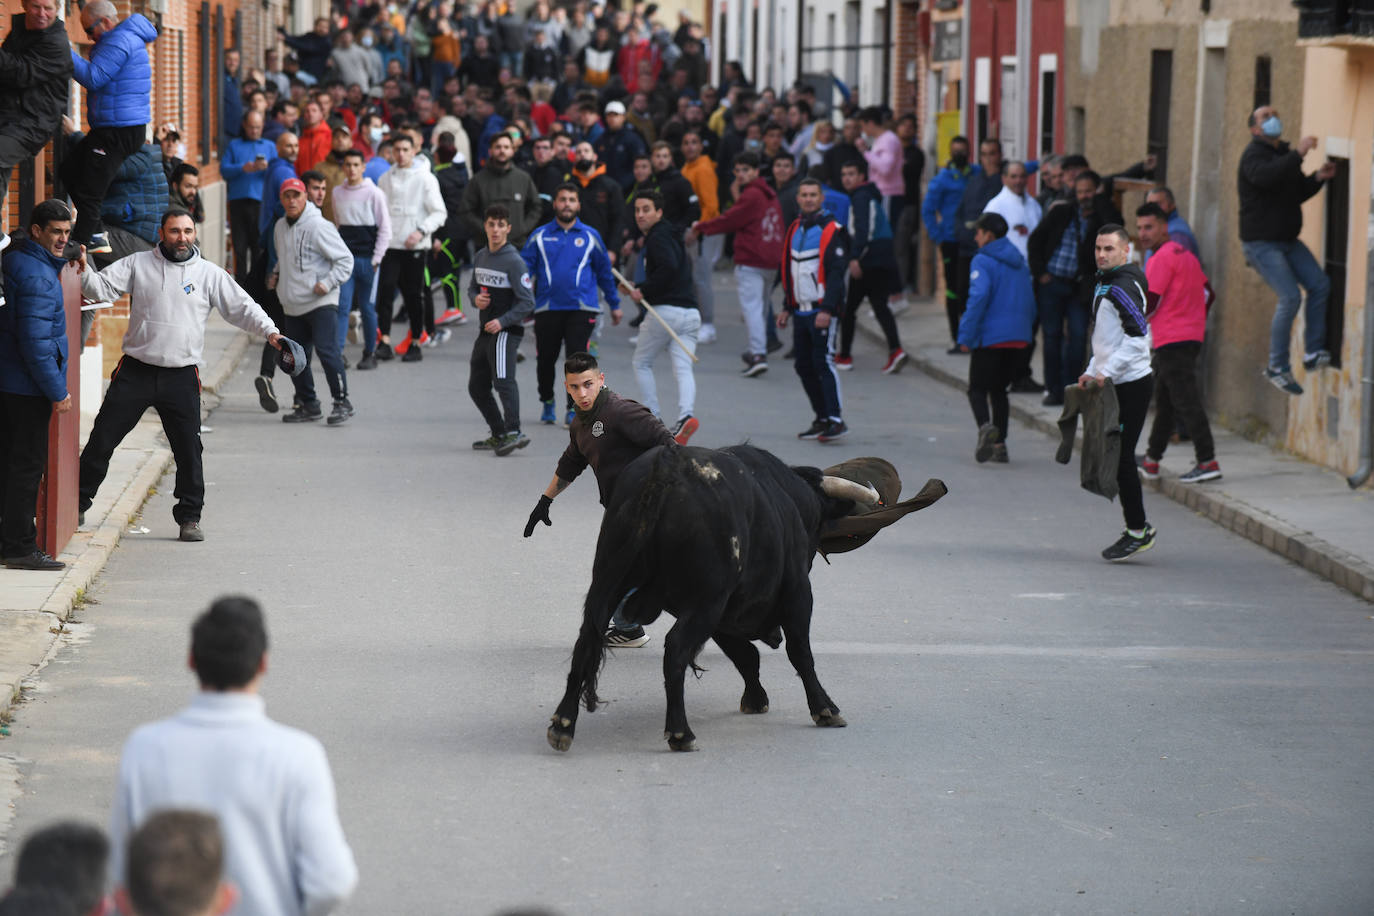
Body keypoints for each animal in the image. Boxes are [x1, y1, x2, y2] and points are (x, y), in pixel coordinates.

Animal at [546, 444, 945, 752]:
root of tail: (667, 467)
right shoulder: (796, 593)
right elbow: (799, 652)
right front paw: (825, 708)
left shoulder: (727, 613)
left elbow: (745, 656)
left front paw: (756, 698)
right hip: (705, 601)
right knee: (676, 649)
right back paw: (681, 733)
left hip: (608, 582)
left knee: (587, 640)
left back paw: (563, 724)